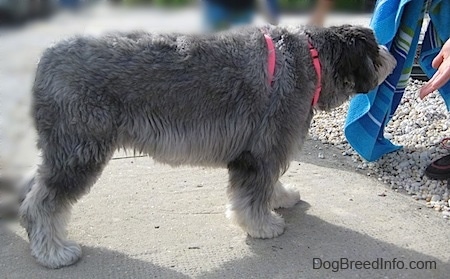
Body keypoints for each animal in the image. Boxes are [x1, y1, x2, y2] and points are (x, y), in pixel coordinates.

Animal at [19, 25, 396, 270]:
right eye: (374, 48)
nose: (393, 57)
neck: (310, 62)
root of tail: (46, 58)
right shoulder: (261, 151)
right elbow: (253, 195)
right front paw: (262, 225)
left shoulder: (267, 150)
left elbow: (269, 183)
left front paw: (281, 197)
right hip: (80, 153)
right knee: (43, 203)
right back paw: (53, 253)